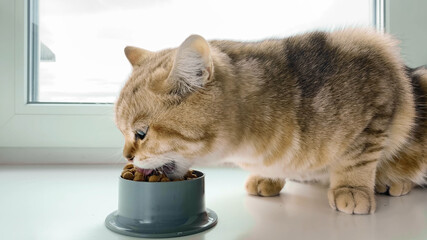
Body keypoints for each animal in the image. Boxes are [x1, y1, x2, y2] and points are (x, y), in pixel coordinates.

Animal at [114, 29, 427, 215]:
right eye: (122, 131)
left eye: (141, 132)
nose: (126, 156)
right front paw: (268, 177)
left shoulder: (378, 96)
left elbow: (357, 159)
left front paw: (351, 189)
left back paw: (392, 182)